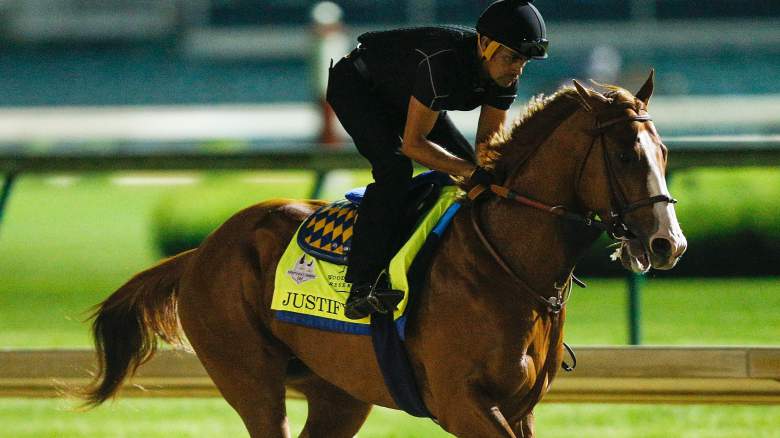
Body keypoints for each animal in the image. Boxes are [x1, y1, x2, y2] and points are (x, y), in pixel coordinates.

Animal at [82, 72, 684, 438]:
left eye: (663, 152)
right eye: (627, 155)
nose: (668, 243)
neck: (507, 265)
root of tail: (202, 250)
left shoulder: (520, 408)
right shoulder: (462, 402)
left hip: (337, 393)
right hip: (249, 378)